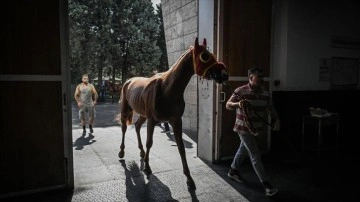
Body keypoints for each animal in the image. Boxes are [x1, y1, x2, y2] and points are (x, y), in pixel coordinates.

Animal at [119, 37, 229, 189]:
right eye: (205, 56)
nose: (224, 74)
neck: (167, 89)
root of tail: (129, 80)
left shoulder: (176, 120)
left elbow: (181, 147)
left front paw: (189, 179)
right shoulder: (152, 120)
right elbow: (149, 142)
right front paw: (147, 167)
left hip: (143, 114)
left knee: (137, 126)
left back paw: (141, 152)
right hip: (126, 109)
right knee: (124, 128)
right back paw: (122, 152)